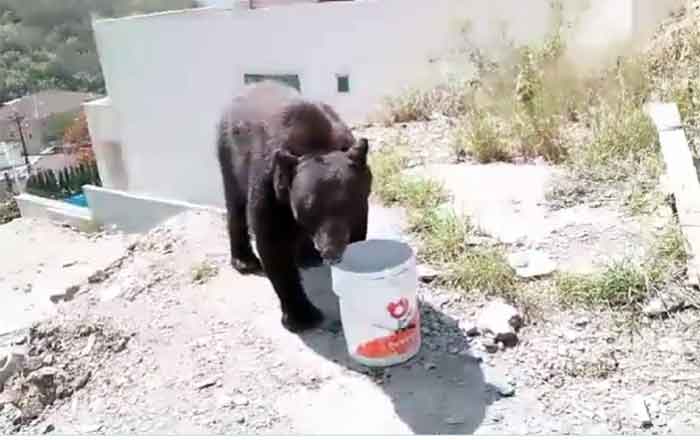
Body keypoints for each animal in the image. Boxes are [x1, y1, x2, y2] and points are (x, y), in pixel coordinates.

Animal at [216, 80, 372, 333]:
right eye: (309, 207)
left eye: (349, 204)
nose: (331, 251)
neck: (316, 145)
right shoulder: (269, 183)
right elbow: (273, 244)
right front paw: (303, 316)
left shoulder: (360, 208)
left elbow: (358, 234)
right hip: (229, 155)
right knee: (235, 204)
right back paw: (245, 261)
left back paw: (308, 257)